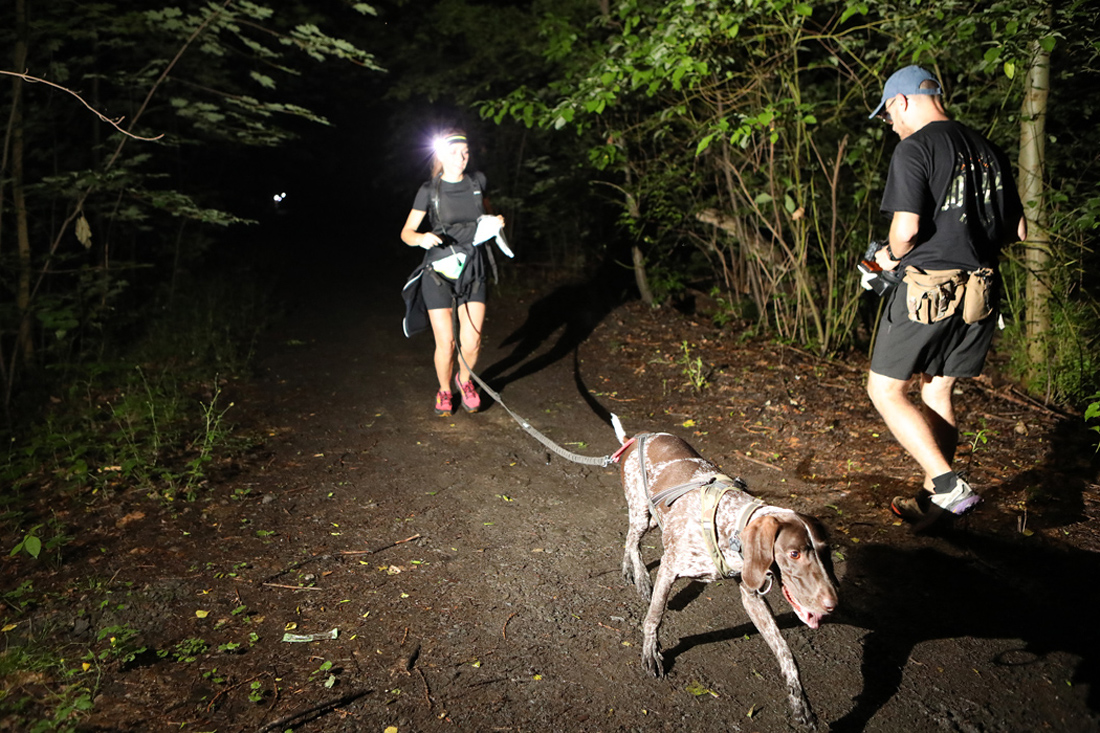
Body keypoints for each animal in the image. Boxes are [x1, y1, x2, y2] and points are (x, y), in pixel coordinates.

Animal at [618, 431, 838, 729]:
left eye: (826, 550)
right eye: (794, 553)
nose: (832, 604)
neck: (731, 526)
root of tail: (640, 437)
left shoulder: (752, 595)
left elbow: (785, 652)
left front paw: (799, 700)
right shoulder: (669, 568)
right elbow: (654, 617)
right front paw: (652, 653)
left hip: (653, 517)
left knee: (632, 538)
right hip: (642, 511)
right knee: (632, 538)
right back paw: (639, 575)